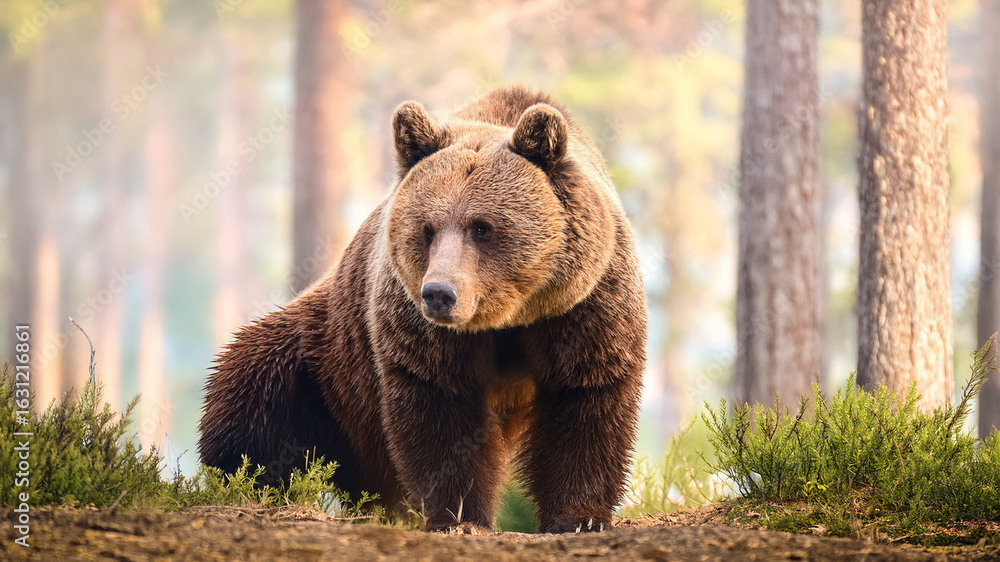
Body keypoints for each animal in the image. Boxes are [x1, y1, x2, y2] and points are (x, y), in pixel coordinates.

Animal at [198, 85, 647, 534]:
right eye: (427, 228)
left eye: (482, 227)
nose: (439, 293)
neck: (507, 317)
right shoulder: (416, 323)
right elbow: (441, 405)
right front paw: (459, 516)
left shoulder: (581, 307)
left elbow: (586, 395)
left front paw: (578, 517)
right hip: (326, 357)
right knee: (255, 392)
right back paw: (251, 481)